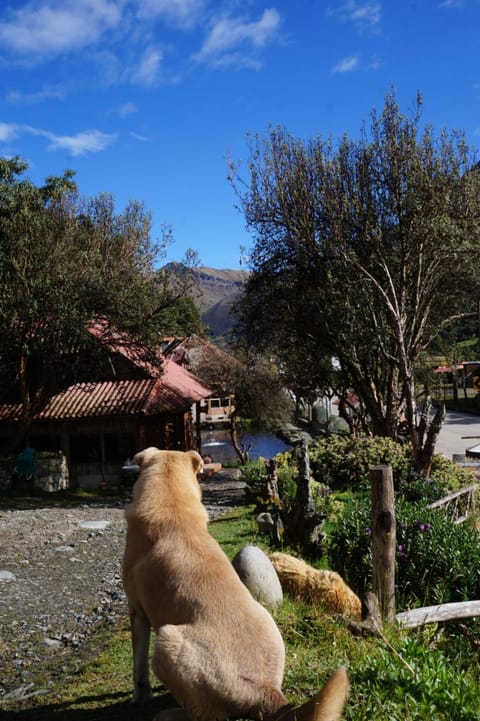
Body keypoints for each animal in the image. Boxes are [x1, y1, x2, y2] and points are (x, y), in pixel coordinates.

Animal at [122, 448, 346, 720]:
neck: (171, 499)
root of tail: (267, 690)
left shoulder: (137, 611)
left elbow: (138, 666)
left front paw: (139, 697)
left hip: (167, 639)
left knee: (204, 714)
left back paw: (169, 714)